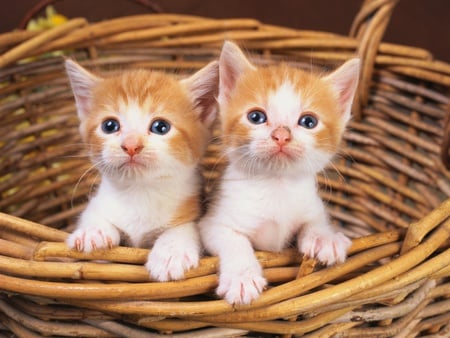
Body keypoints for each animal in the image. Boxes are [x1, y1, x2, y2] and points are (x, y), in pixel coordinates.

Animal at [65, 59, 220, 282]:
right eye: (109, 125)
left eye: (160, 127)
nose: (131, 145)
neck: (140, 192)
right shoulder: (99, 201)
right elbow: (92, 214)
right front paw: (92, 231)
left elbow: (187, 227)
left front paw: (171, 252)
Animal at [199, 41, 360, 304]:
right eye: (256, 117)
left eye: (308, 121)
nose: (281, 135)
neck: (277, 184)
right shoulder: (214, 221)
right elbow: (234, 240)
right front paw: (242, 277)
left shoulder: (311, 203)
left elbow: (316, 220)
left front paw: (325, 238)